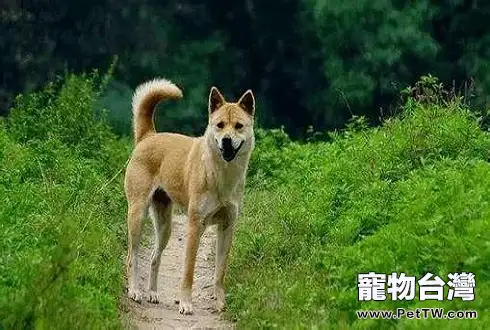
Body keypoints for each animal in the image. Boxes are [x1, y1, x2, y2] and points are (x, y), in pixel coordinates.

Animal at [123, 78, 256, 314]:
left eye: (239, 126)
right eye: (220, 125)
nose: (226, 141)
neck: (221, 175)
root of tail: (149, 136)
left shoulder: (227, 227)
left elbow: (220, 272)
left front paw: (220, 302)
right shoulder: (195, 226)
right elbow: (188, 271)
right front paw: (185, 303)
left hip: (165, 226)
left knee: (154, 257)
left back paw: (153, 293)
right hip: (137, 215)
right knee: (133, 257)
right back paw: (135, 291)